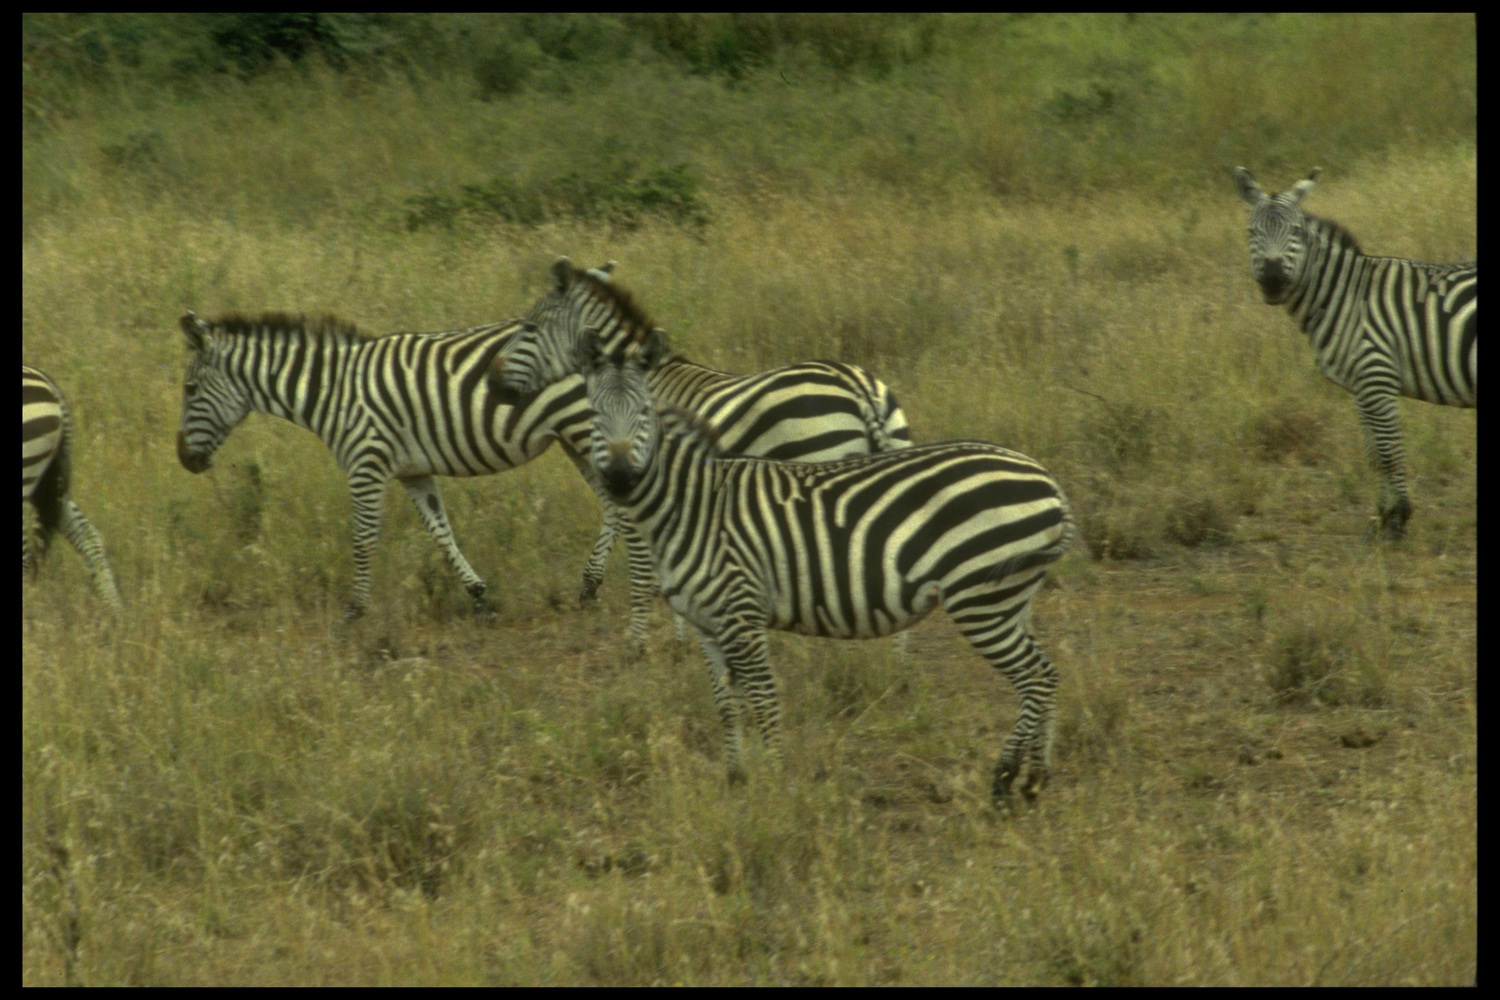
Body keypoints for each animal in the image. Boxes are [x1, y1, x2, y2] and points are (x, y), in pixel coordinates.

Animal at [176, 311, 660, 625]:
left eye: (190, 389)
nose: (184, 460)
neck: (332, 392)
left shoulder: (366, 464)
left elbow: (363, 540)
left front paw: (354, 611)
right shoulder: (413, 472)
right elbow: (441, 534)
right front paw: (479, 597)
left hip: (584, 429)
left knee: (625, 505)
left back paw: (605, 584)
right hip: (576, 438)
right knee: (616, 505)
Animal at [579, 328, 1074, 804]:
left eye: (645, 413)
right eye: (595, 415)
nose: (619, 479)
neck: (692, 505)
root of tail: (1049, 483)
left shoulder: (741, 613)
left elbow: (764, 700)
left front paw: (778, 786)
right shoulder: (709, 624)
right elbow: (726, 704)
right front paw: (737, 778)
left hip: (981, 601)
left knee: (1035, 679)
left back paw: (1009, 778)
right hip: (1010, 597)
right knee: (1045, 674)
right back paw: (1031, 778)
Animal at [1233, 167, 1477, 538]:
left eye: (1296, 231)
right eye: (1251, 232)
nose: (1273, 280)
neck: (1346, 297)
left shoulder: (1377, 377)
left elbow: (1389, 452)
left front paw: (1398, 520)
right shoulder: (1360, 388)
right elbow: (1373, 454)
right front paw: (1382, 517)